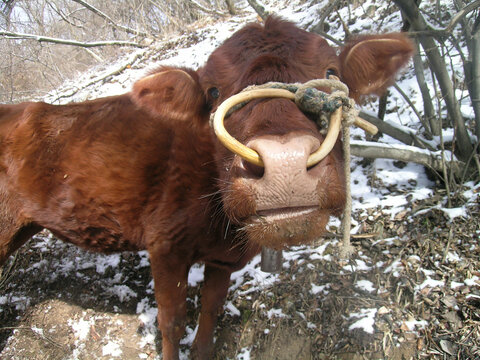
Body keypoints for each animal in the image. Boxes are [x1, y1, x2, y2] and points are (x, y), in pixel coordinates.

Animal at [0, 16, 412, 360]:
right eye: (213, 92)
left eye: (331, 71)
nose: (285, 162)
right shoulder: (165, 246)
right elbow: (172, 323)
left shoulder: (224, 257)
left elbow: (210, 312)